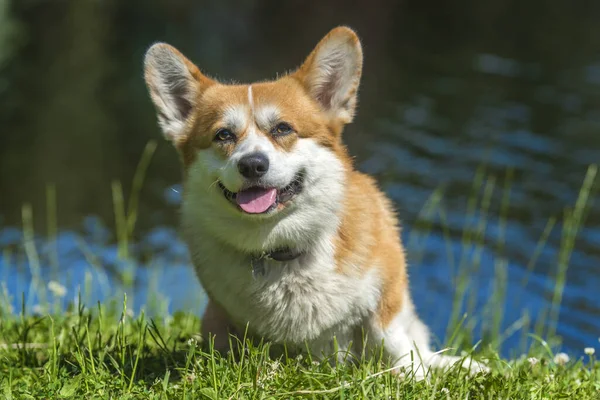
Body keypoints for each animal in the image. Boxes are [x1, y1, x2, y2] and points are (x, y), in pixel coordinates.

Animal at [145, 27, 488, 378]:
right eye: (223, 135)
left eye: (283, 128)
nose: (252, 165)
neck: (281, 249)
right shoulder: (222, 317)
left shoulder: (387, 297)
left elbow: (394, 344)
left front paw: (415, 376)